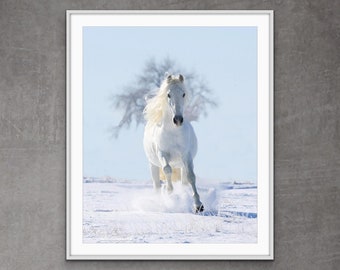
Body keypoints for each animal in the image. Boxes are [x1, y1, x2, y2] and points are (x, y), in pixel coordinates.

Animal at [142, 74, 203, 213]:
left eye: (184, 94)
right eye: (168, 95)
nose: (178, 120)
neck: (174, 132)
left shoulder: (186, 155)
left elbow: (191, 176)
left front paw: (198, 205)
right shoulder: (162, 153)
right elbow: (167, 170)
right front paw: (170, 195)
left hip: (181, 165)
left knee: (184, 181)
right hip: (153, 165)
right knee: (157, 185)